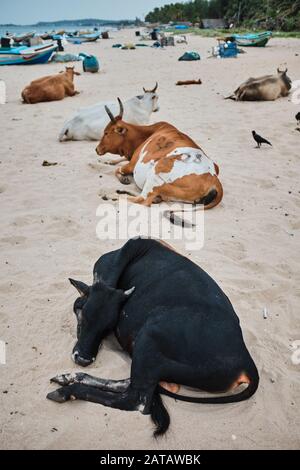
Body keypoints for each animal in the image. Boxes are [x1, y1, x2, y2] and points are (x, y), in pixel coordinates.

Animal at [48, 239, 258, 436]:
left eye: (108, 327)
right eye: (85, 316)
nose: (83, 359)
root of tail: (246, 362)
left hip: (148, 339)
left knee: (135, 400)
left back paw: (67, 390)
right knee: (131, 384)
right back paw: (69, 377)